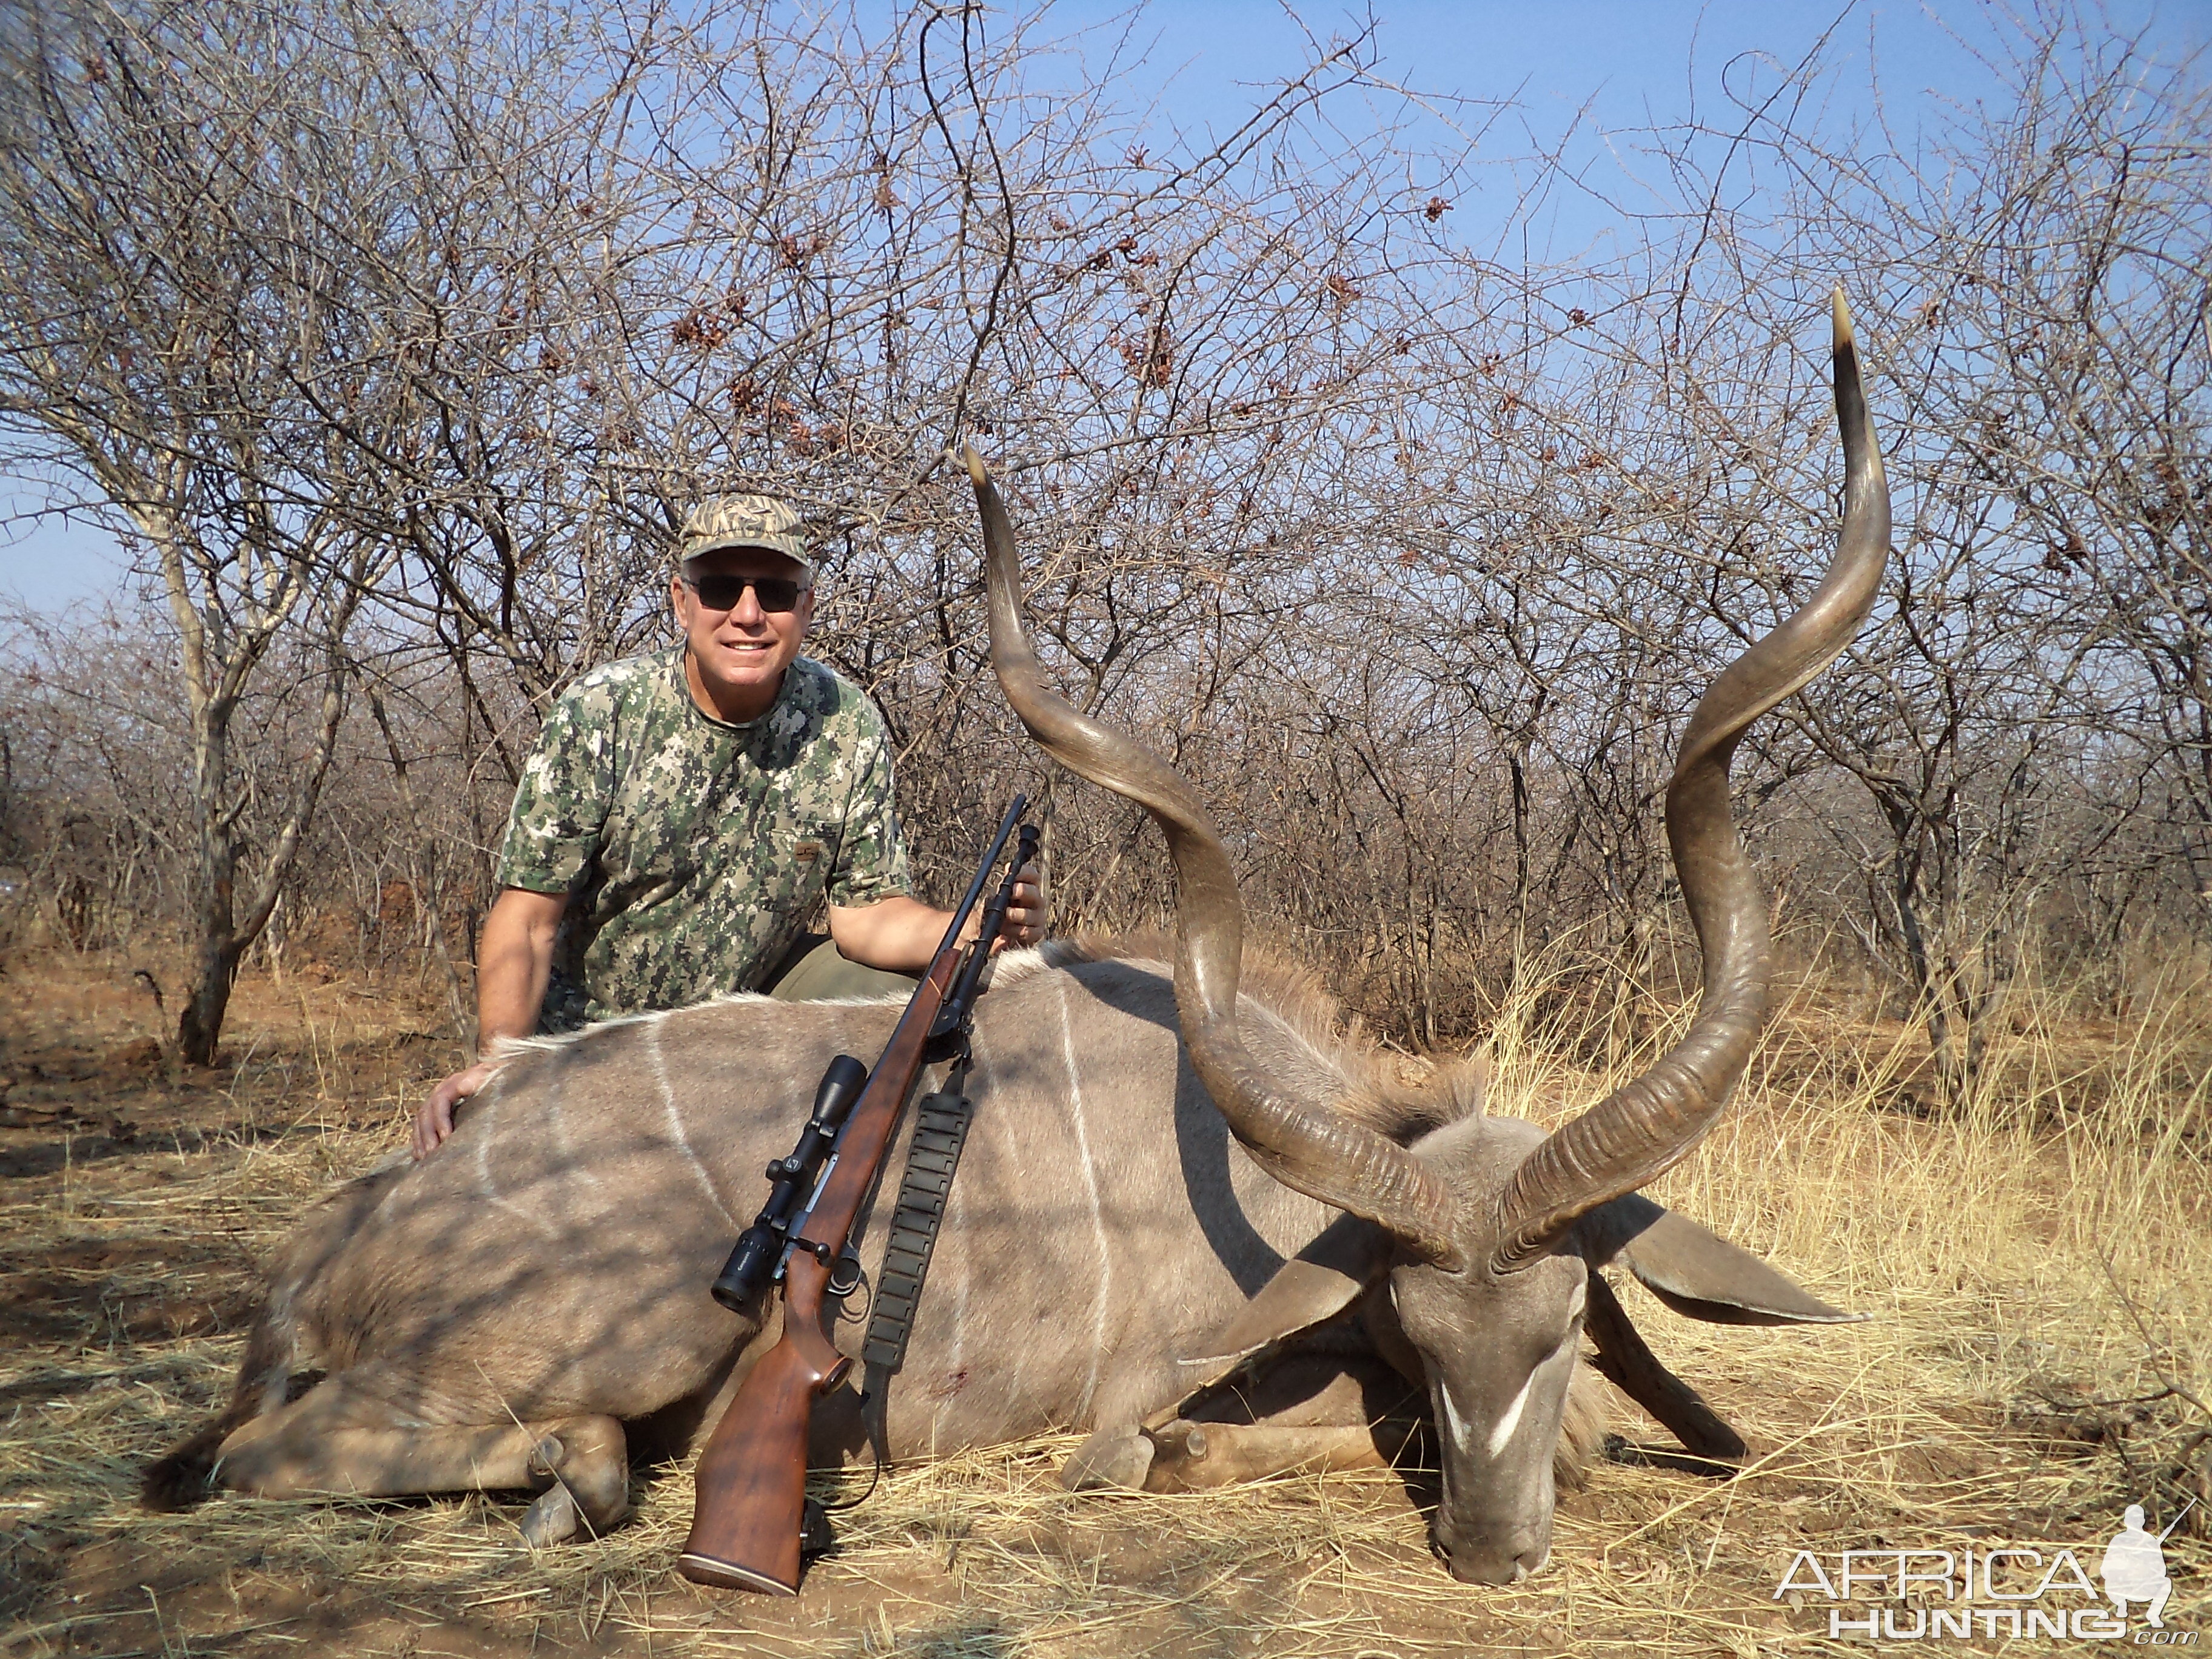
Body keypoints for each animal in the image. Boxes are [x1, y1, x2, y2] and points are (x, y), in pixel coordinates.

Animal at [147, 298, 1893, 1583]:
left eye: (1560, 1319)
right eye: (1416, 1321)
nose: (1490, 1550)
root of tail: (346, 1231)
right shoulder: (1165, 1390)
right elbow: (1186, 1440)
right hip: (628, 1331)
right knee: (274, 1459)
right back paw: (575, 1473)